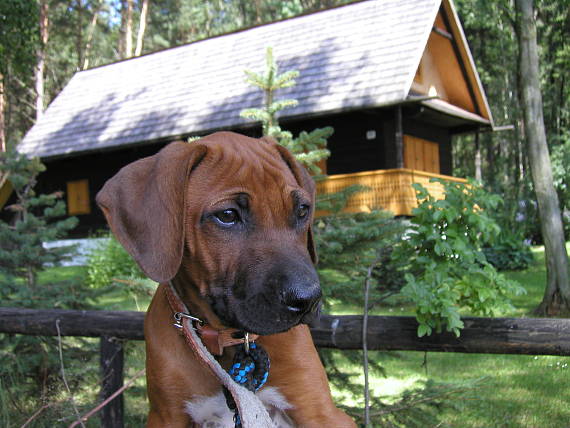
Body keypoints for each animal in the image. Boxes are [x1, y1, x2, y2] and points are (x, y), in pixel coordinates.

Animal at [97, 132, 356, 426]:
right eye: (227, 215)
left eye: (302, 210)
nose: (308, 299)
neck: (229, 340)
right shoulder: (166, 416)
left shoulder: (322, 413)